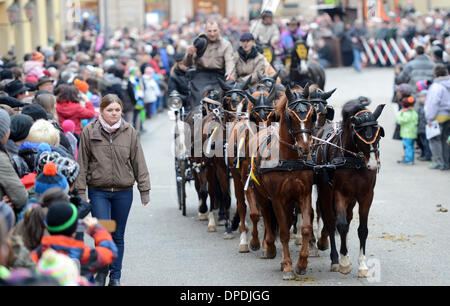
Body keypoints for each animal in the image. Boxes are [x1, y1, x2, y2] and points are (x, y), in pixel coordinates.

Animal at [243, 85, 316, 280]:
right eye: (291, 116)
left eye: (312, 115)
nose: (305, 147)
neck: (289, 160)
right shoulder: (276, 198)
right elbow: (283, 232)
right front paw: (288, 267)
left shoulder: (303, 193)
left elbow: (305, 228)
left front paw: (302, 263)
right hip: (262, 194)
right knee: (264, 215)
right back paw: (268, 247)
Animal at [312, 98, 386, 278]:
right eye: (359, 133)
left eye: (378, 132)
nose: (373, 164)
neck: (354, 162)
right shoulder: (340, 194)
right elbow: (341, 225)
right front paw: (344, 261)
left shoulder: (366, 195)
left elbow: (362, 229)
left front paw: (363, 265)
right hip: (325, 191)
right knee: (330, 220)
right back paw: (334, 257)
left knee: (347, 217)